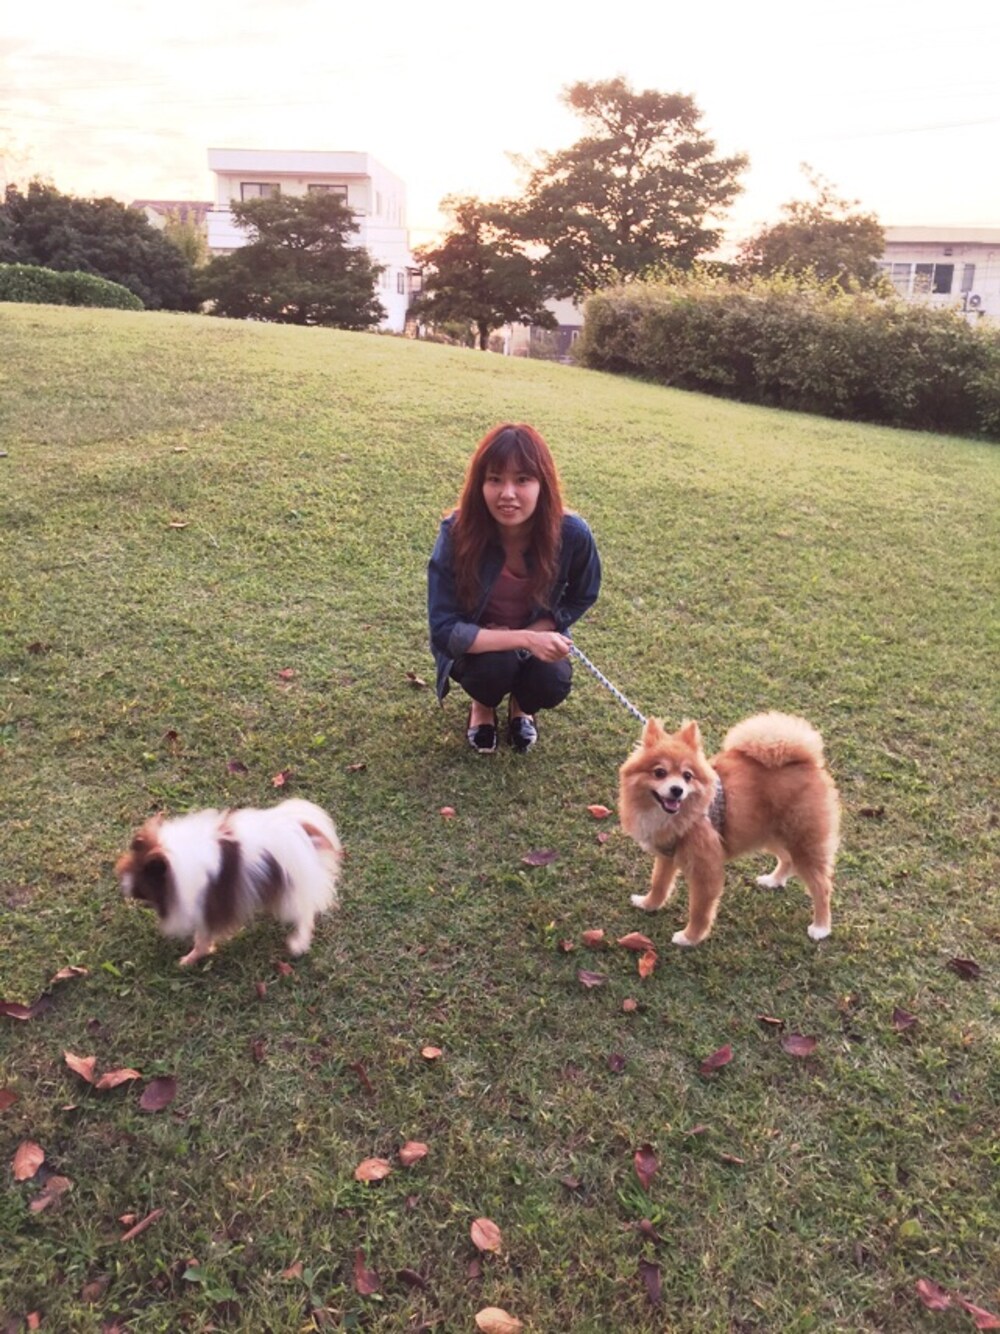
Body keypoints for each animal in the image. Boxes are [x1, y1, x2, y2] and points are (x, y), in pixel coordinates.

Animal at [117, 798, 341, 966]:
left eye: (143, 880)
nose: (125, 888)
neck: (174, 862)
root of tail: (300, 833)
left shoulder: (208, 906)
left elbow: (202, 938)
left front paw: (189, 959)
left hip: (292, 893)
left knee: (306, 915)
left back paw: (297, 944)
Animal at [618, 712, 840, 946]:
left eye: (687, 776)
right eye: (659, 772)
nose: (677, 790)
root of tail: (808, 761)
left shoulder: (705, 870)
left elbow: (699, 910)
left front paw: (690, 937)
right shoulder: (667, 855)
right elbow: (659, 884)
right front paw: (648, 904)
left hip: (803, 842)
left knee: (822, 887)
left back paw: (821, 927)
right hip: (773, 835)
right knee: (787, 859)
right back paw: (774, 880)